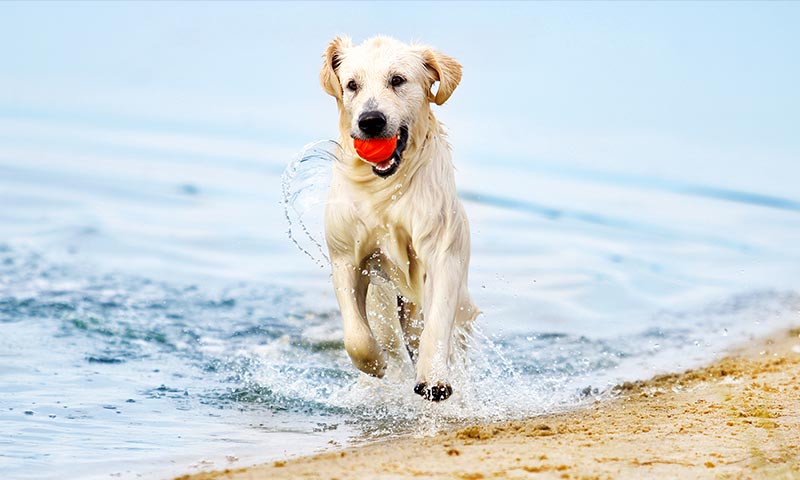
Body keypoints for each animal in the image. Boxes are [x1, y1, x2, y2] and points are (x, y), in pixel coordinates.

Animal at [322, 35, 478, 402]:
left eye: (397, 80)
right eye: (352, 85)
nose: (371, 120)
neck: (385, 188)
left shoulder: (442, 251)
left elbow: (437, 321)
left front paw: (434, 379)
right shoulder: (345, 256)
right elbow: (356, 334)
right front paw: (375, 364)